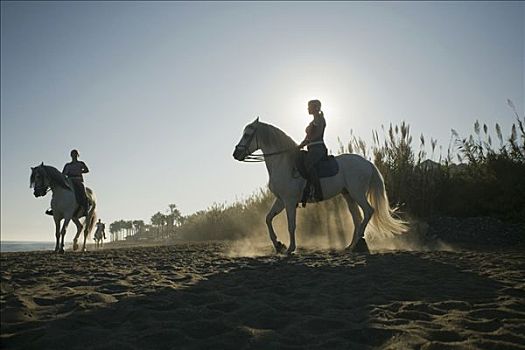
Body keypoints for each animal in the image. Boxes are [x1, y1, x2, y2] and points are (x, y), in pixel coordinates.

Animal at [231, 118, 408, 254]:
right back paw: (350, 246)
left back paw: (357, 242)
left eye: (247, 134)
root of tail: (367, 163)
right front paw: (278, 245)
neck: (283, 163)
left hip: (357, 193)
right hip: (348, 195)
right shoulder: (281, 200)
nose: (236, 154)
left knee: (368, 211)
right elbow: (268, 219)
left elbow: (291, 225)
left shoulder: (289, 201)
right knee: (357, 218)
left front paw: (290, 248)